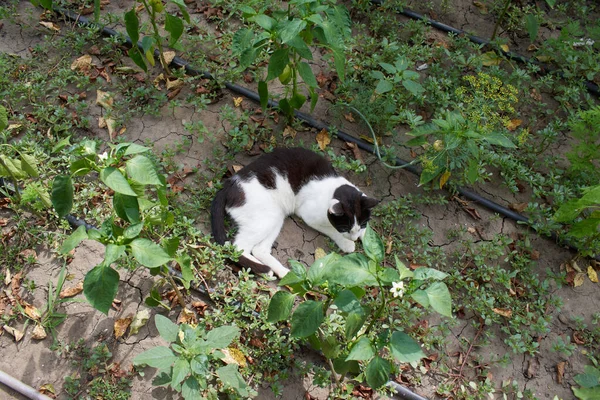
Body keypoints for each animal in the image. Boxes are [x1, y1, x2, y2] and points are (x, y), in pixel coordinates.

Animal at [212, 147, 380, 278]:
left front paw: (368, 240)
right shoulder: (309, 215)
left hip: (276, 217)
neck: (333, 188)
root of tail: (229, 184)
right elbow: (331, 230)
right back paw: (263, 269)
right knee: (238, 246)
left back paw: (278, 271)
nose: (355, 237)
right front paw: (347, 243)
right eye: (345, 228)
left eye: (362, 223)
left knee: (258, 249)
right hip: (267, 217)